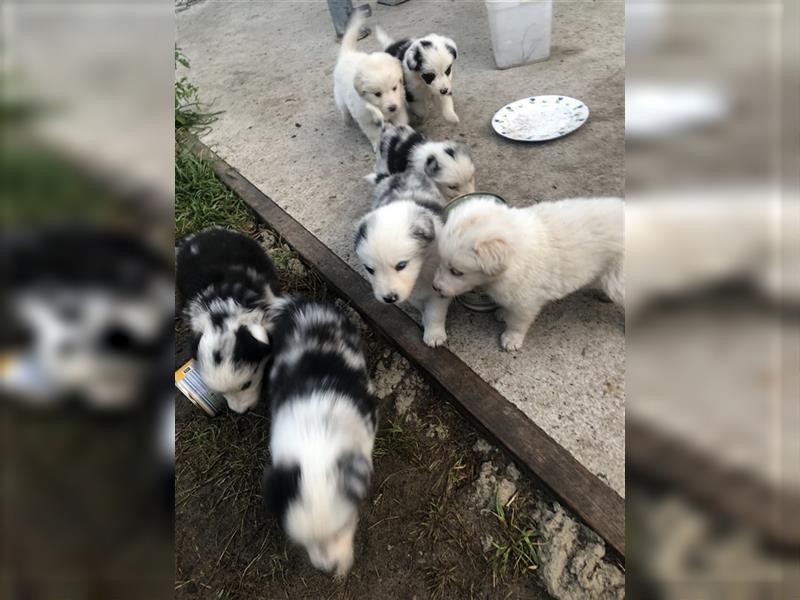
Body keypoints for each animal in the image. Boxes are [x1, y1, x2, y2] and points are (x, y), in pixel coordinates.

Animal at [332, 11, 406, 148]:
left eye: (394, 88)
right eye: (377, 94)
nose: (392, 107)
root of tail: (347, 54)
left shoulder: (400, 107)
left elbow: (401, 122)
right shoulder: (365, 119)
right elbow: (374, 133)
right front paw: (377, 145)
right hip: (340, 96)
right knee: (343, 109)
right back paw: (346, 120)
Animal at [354, 169, 454, 346]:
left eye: (401, 265)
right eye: (370, 270)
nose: (389, 298)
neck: (422, 269)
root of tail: (398, 174)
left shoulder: (441, 286)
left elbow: (435, 311)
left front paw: (434, 335)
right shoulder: (413, 292)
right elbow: (422, 306)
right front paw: (425, 321)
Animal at [432, 196, 624, 352]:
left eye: (456, 272)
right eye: (439, 261)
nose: (435, 287)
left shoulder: (526, 302)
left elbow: (517, 322)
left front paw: (512, 339)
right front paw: (503, 313)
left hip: (618, 280)